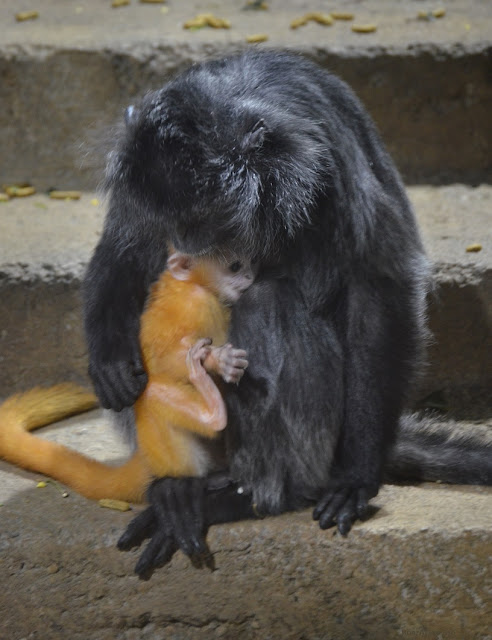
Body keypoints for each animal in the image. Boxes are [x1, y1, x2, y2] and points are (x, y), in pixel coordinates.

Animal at [0, 250, 254, 504]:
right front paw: (218, 360)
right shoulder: (196, 304)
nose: (250, 277)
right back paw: (212, 417)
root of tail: (144, 457)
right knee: (152, 396)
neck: (195, 284)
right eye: (234, 266)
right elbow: (166, 360)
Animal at [82, 50, 490, 576]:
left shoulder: (330, 154)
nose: (185, 243)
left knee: (269, 299)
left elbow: (380, 282)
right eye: (169, 220)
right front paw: (110, 357)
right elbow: (125, 250)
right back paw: (183, 485)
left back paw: (256, 496)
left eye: (202, 219)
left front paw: (358, 476)